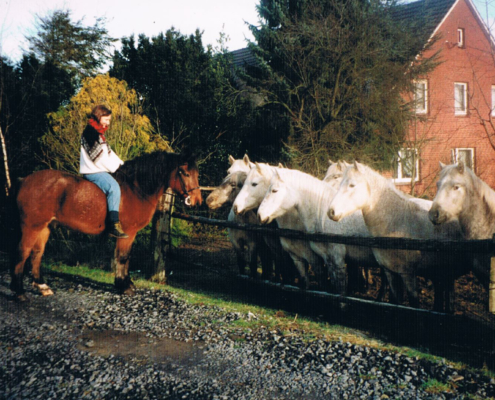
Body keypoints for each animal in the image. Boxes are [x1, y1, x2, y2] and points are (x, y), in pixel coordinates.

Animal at [10, 152, 202, 302]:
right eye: (185, 173)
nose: (197, 201)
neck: (136, 189)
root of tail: (25, 179)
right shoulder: (128, 233)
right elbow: (123, 257)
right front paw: (124, 286)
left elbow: (124, 257)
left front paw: (126, 282)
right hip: (32, 226)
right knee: (23, 252)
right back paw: (19, 292)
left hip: (45, 227)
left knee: (36, 254)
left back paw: (42, 287)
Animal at [258, 167, 382, 296]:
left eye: (274, 190)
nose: (260, 215)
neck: (323, 217)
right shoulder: (327, 259)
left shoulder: (337, 259)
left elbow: (340, 287)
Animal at [328, 161, 466, 310]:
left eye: (352, 185)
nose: (331, 212)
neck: (398, 222)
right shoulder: (390, 272)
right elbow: (395, 301)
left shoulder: (408, 274)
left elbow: (413, 303)